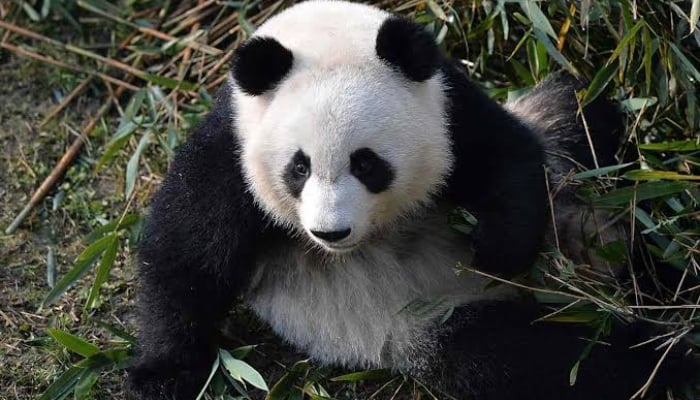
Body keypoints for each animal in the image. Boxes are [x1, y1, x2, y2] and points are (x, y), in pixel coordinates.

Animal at [126, 1, 694, 399]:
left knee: (577, 117)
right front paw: (162, 374)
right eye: (298, 167)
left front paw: (496, 248)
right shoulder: (231, 149)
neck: (323, 37)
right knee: (539, 357)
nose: (330, 232)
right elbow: (187, 255)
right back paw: (665, 352)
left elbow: (509, 159)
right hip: (429, 319)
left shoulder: (450, 108)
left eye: (367, 164)